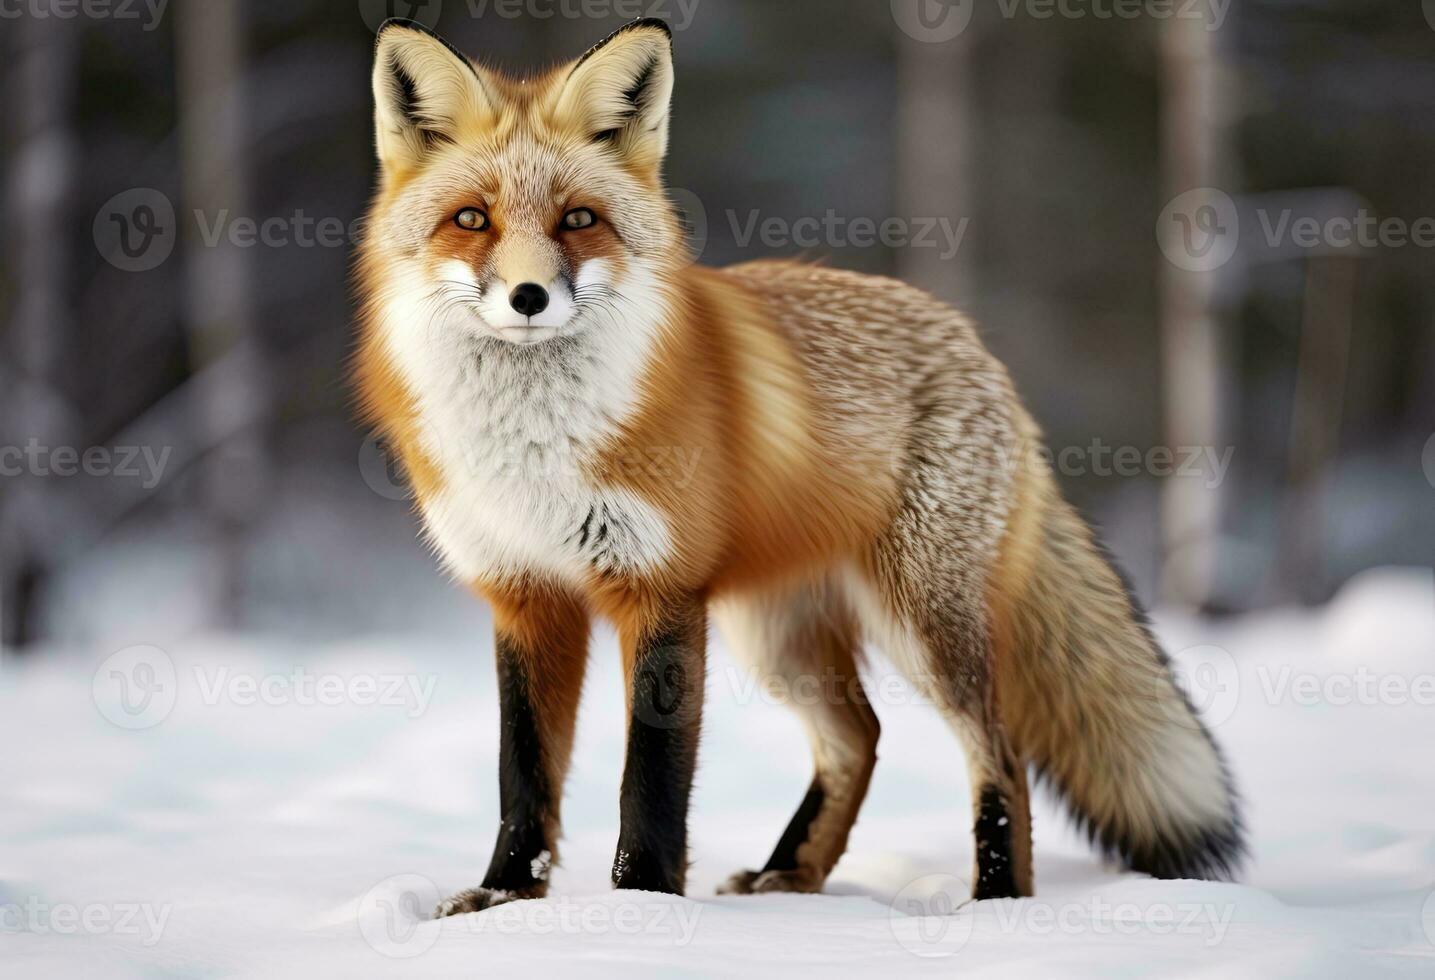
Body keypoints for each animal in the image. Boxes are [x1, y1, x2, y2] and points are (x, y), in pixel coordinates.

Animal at [350, 17, 1245, 918]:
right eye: (471, 217)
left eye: (578, 218)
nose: (528, 297)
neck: (534, 453)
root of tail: (978, 349)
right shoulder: (525, 596)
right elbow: (523, 776)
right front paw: (504, 897)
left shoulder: (660, 589)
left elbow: (651, 780)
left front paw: (641, 906)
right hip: (776, 633)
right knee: (860, 738)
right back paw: (790, 875)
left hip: (918, 623)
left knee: (998, 750)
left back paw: (995, 899)